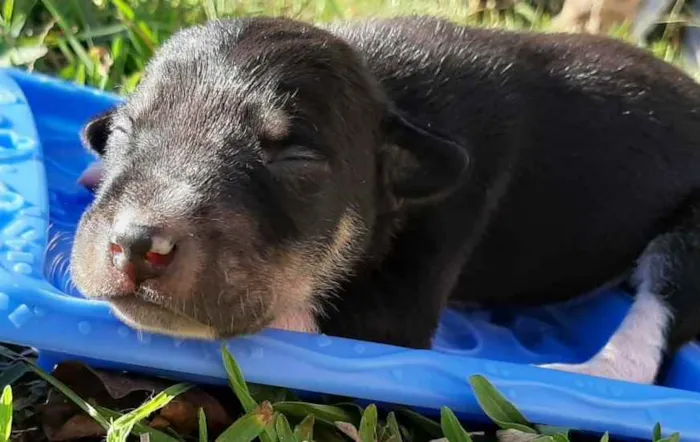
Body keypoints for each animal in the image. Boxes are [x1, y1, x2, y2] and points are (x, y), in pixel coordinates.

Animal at [69, 15, 700, 386]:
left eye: (297, 161)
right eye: (124, 132)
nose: (136, 245)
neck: (389, 96)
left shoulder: (425, 267)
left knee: (656, 322)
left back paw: (588, 370)